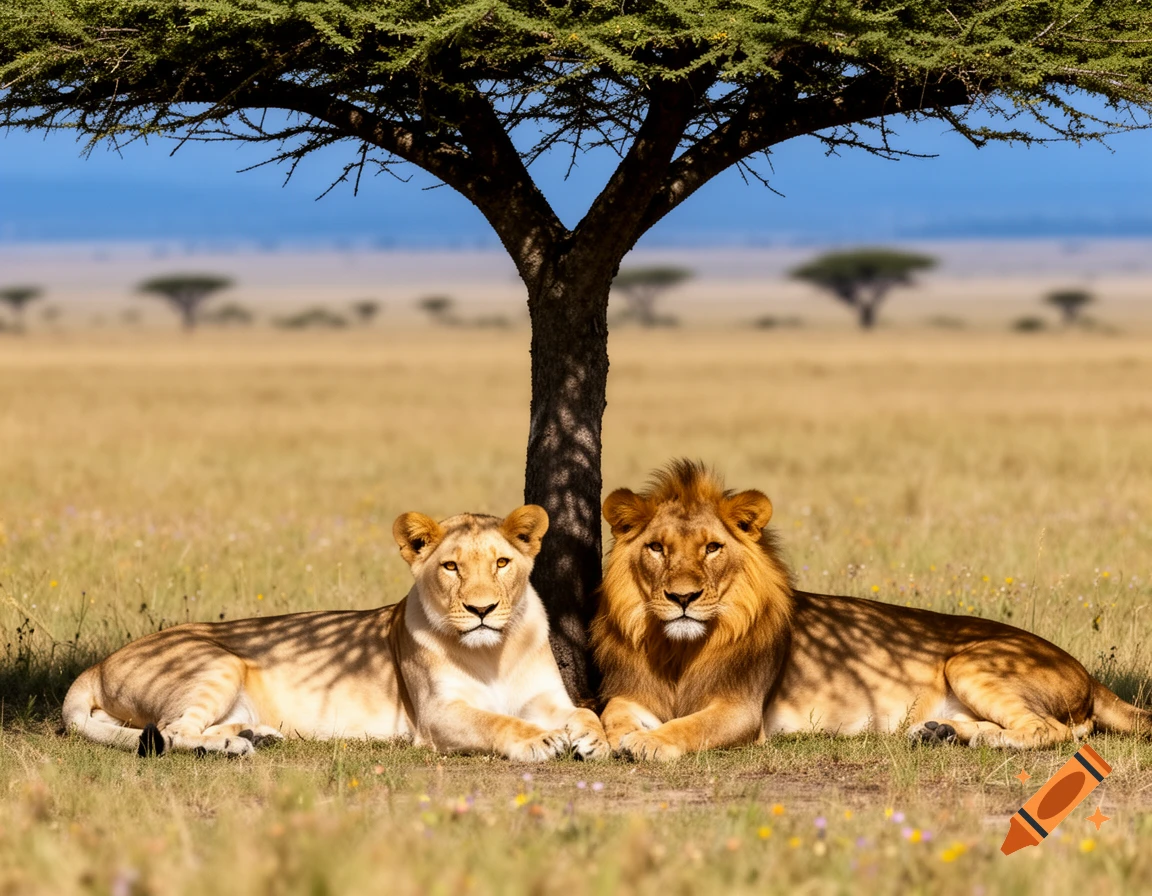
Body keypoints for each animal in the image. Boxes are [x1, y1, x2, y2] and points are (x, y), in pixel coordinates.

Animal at [63, 505, 608, 761]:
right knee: (173, 730)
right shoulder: (437, 715)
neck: (493, 652)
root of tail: (98, 663)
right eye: (451, 567)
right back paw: (230, 747)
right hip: (217, 661)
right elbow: (496, 722)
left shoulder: (548, 698)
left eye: (501, 563)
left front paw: (594, 741)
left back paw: (257, 735)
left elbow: (585, 713)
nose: (481, 610)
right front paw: (542, 741)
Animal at [591, 460, 1149, 760]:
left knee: (1054, 731)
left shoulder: (741, 709)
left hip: (970, 661)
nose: (682, 598)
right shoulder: (632, 690)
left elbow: (692, 727)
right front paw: (608, 737)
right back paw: (945, 733)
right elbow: (612, 713)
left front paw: (646, 743)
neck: (678, 651)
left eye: (711, 548)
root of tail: (1086, 671)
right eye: (657, 548)